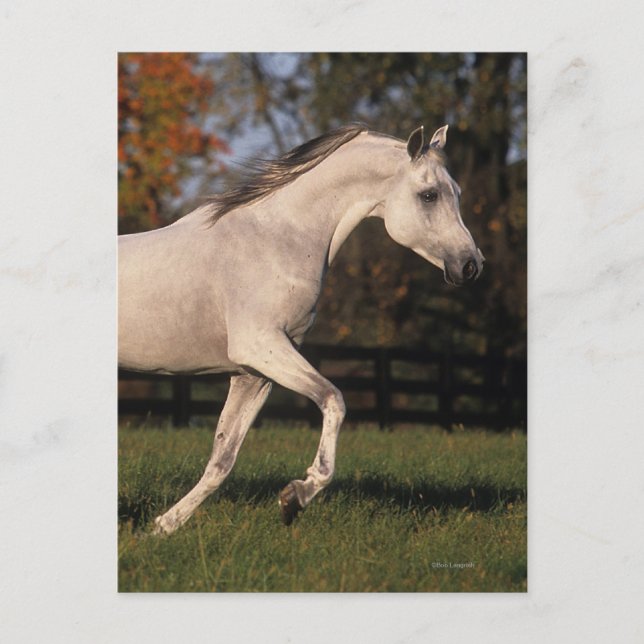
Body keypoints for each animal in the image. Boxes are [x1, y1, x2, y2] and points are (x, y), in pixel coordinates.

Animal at [118, 123, 484, 534]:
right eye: (429, 195)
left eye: (458, 193)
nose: (471, 265)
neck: (276, 239)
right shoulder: (261, 347)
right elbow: (333, 400)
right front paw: (297, 496)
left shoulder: (253, 373)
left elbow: (222, 459)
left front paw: (163, 527)